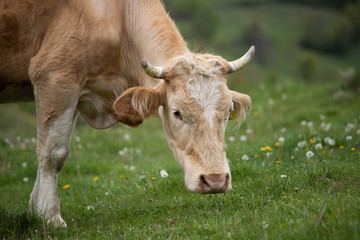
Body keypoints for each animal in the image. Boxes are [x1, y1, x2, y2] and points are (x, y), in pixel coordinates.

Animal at [0, 0, 253, 227]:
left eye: (227, 112)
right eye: (177, 112)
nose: (215, 180)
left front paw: (35, 210)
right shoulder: (55, 76)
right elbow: (53, 153)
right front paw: (49, 216)